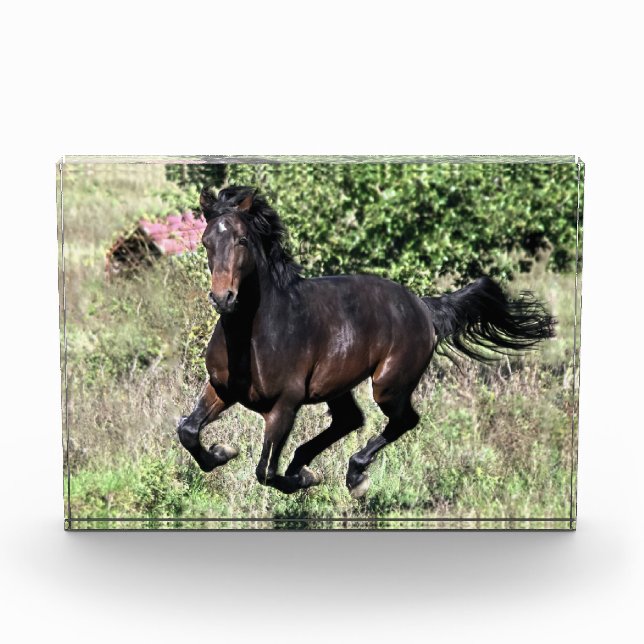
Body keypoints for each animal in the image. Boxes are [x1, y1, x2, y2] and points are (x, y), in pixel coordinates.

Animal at [177, 185, 556, 498]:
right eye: (206, 242)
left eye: (241, 240)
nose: (223, 298)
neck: (255, 334)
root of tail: (424, 307)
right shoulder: (221, 388)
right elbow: (189, 431)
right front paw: (222, 453)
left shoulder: (284, 405)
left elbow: (265, 471)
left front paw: (303, 480)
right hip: (338, 384)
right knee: (350, 420)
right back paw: (309, 465)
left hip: (388, 385)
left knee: (402, 421)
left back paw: (353, 476)